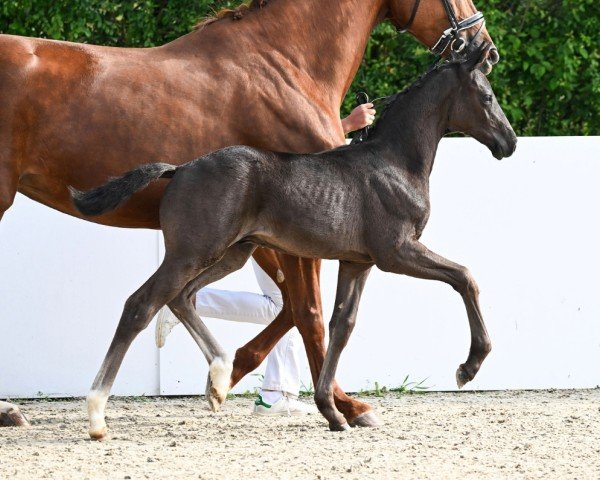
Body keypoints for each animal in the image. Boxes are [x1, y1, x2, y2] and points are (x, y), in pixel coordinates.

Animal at [0, 0, 496, 428]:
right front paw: (345, 406)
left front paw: (228, 377)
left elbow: (295, 311)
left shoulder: (270, 240)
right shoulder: (306, 239)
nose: (487, 48)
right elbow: (310, 314)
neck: (284, 64)